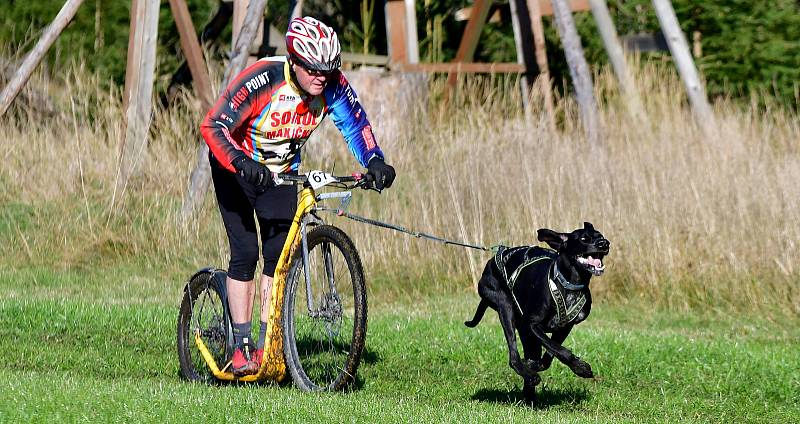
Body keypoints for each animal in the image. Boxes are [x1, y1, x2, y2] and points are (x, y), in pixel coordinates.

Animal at [466, 222, 608, 404]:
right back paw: (530, 378)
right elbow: (559, 349)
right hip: (505, 307)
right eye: (584, 238)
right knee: (513, 356)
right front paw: (581, 367)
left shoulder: (564, 327)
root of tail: (491, 260)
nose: (604, 244)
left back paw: (530, 395)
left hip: (525, 332)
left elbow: (551, 353)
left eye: (601, 236)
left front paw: (535, 365)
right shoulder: (532, 325)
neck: (568, 282)